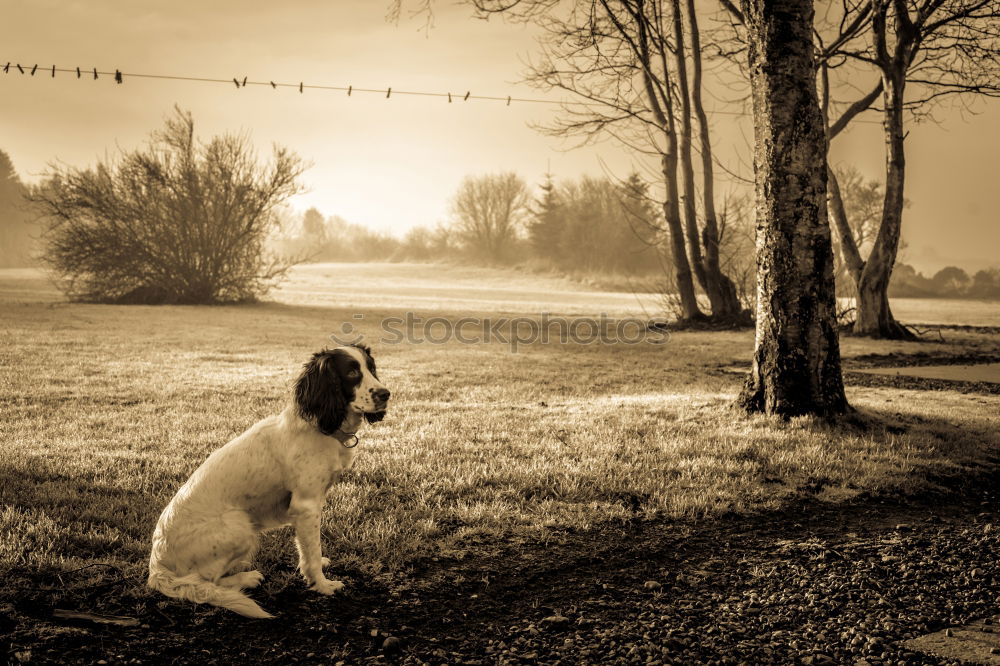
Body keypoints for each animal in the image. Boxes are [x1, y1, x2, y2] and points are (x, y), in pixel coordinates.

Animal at [148, 344, 390, 616]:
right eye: (351, 372)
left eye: (371, 368)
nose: (386, 394)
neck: (321, 427)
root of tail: (157, 569)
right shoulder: (306, 505)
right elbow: (312, 551)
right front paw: (323, 584)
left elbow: (310, 549)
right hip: (239, 525)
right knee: (205, 581)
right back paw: (246, 578)